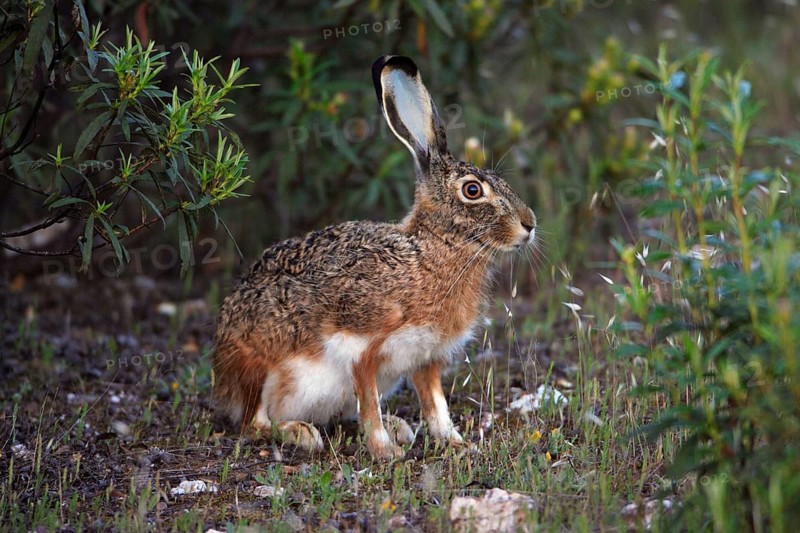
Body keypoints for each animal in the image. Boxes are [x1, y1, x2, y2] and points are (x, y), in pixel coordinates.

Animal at [213, 55, 536, 460]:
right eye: (472, 191)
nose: (529, 224)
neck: (431, 251)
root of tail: (221, 375)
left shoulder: (425, 357)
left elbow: (435, 403)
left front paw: (455, 443)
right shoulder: (360, 348)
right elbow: (368, 402)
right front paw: (385, 453)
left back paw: (398, 427)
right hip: (258, 367)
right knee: (253, 424)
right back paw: (299, 432)